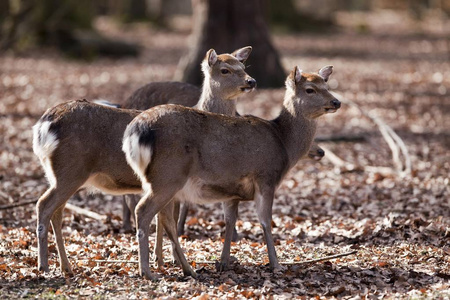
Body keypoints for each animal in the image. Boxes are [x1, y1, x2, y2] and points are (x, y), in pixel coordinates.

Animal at [31, 45, 256, 276]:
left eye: (243, 66)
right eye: (225, 70)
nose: (251, 81)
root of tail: (43, 125)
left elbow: (161, 220)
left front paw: (160, 259)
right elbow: (167, 220)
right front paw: (170, 260)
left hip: (57, 174)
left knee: (57, 212)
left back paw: (65, 266)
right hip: (70, 170)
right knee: (44, 205)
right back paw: (44, 265)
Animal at [121, 64, 340, 280]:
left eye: (326, 85)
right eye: (310, 89)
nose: (336, 102)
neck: (284, 144)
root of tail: (136, 130)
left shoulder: (232, 192)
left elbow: (229, 221)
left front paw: (224, 262)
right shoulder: (266, 178)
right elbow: (265, 222)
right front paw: (275, 265)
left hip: (161, 181)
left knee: (165, 219)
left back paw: (187, 269)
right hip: (167, 176)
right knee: (143, 210)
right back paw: (147, 271)